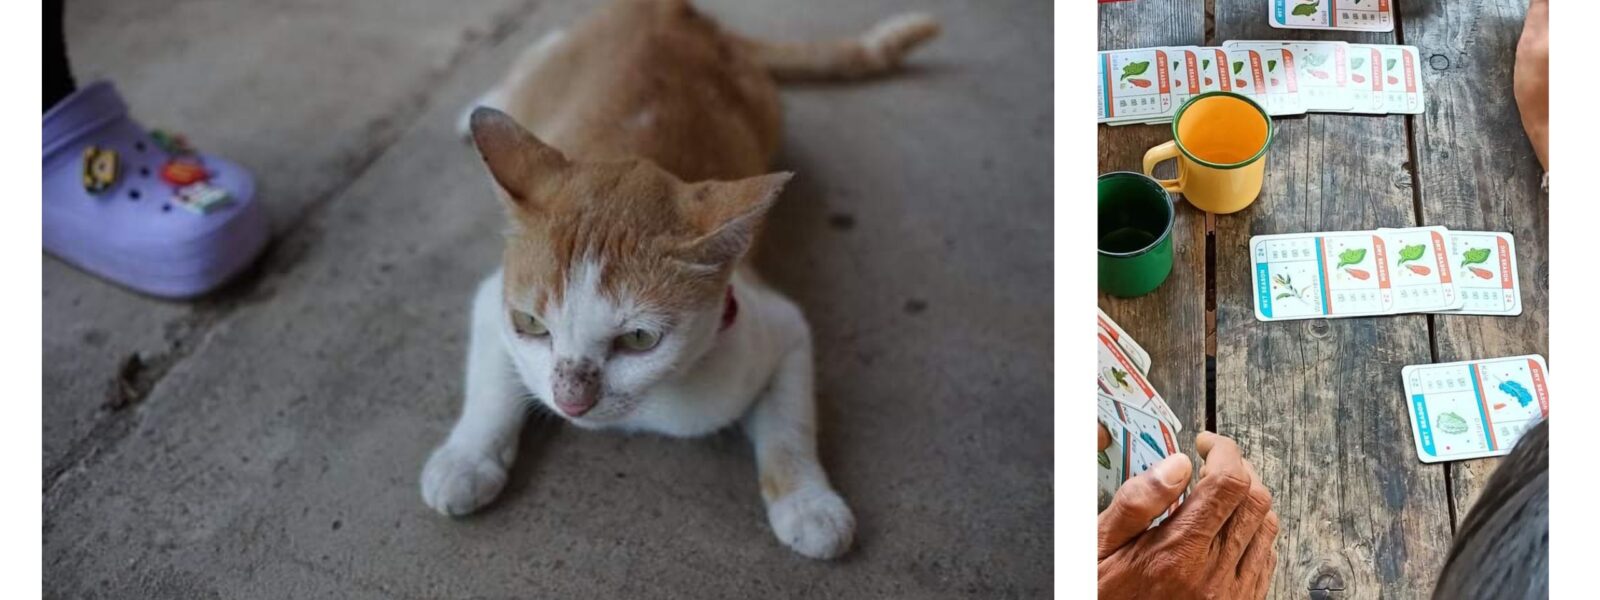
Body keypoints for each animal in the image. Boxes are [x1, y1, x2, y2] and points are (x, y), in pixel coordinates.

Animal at [422, 0, 934, 560]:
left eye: (640, 338)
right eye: (531, 324)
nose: (572, 402)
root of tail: (673, 10)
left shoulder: (782, 327)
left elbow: (790, 428)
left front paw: (808, 504)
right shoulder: (491, 299)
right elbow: (491, 384)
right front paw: (466, 460)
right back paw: (481, 105)